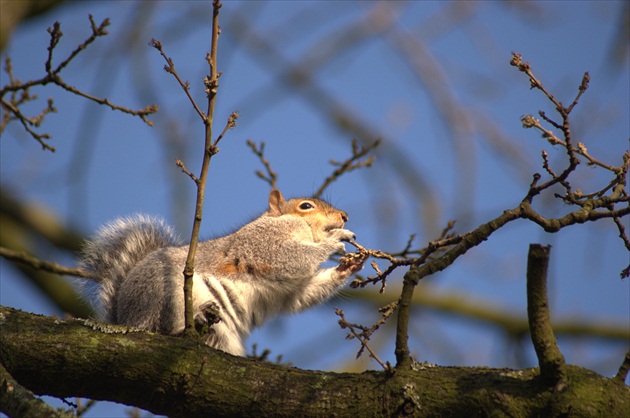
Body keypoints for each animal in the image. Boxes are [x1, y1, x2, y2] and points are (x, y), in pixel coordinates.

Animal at [79, 190, 366, 356]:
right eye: (305, 207)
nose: (344, 216)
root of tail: (127, 319)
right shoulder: (260, 245)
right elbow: (290, 257)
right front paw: (335, 240)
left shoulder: (292, 288)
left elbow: (302, 294)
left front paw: (348, 266)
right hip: (165, 294)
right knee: (161, 326)